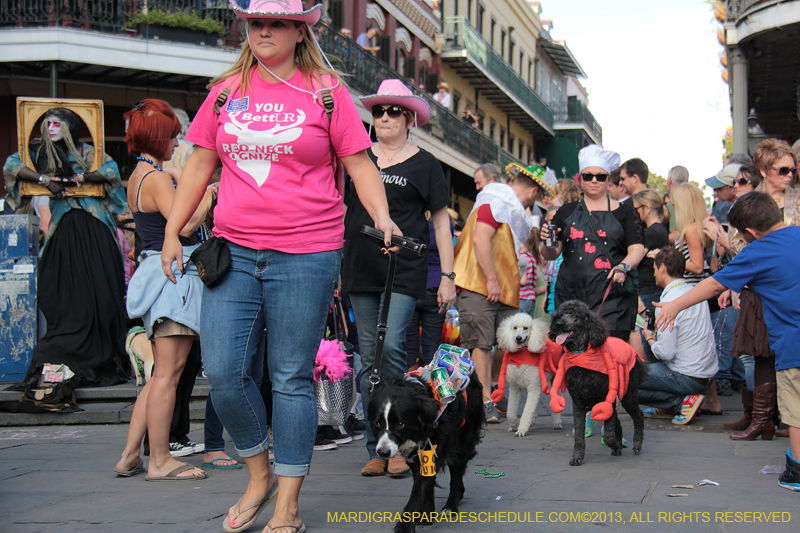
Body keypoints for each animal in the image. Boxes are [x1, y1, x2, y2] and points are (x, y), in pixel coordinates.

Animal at [368, 372, 484, 528]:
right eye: (376, 423)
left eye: (400, 424)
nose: (383, 452)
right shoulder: (419, 458)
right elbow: (426, 485)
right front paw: (426, 515)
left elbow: (418, 492)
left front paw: (404, 527)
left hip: (462, 441)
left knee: (456, 473)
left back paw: (450, 506)